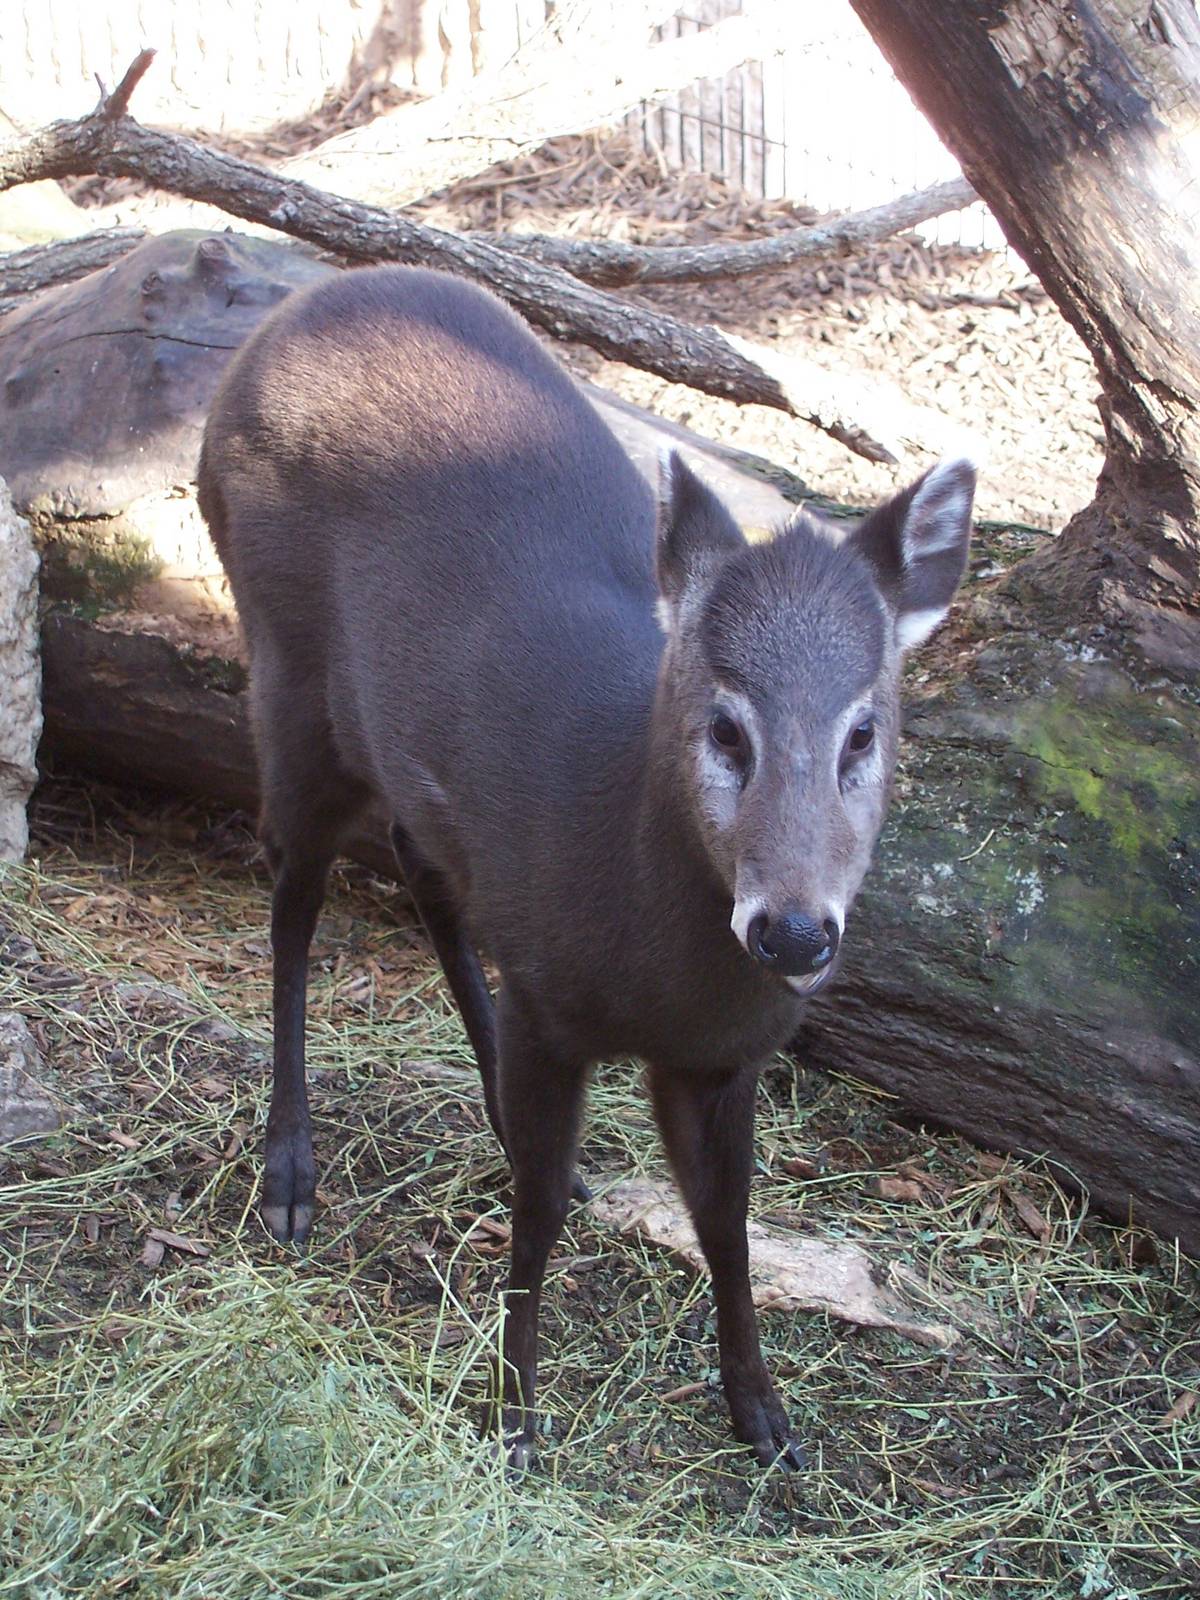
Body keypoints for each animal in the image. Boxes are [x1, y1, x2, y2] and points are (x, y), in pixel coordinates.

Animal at [197, 264, 974, 1472]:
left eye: (864, 730)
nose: (794, 931)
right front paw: (514, 1419)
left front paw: (765, 1417)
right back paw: (289, 1174)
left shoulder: (717, 1058)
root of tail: (286, 318)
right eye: (727, 726)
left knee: (420, 864)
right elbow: (537, 1224)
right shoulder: (556, 1008)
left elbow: (727, 1221)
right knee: (290, 898)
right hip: (282, 662)